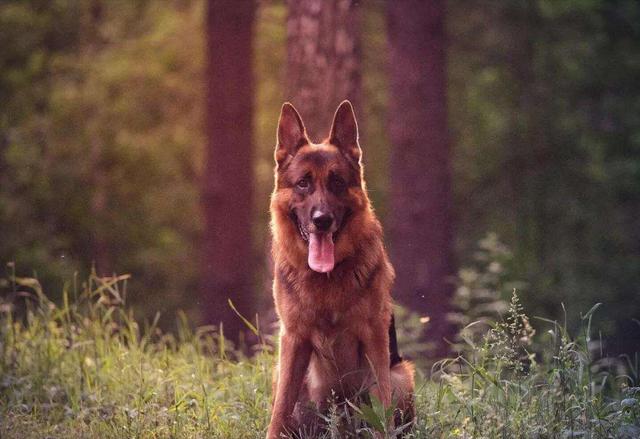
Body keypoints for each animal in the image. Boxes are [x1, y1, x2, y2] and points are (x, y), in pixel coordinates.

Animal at [266, 101, 412, 438]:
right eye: (303, 183)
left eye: (337, 183)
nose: (322, 220)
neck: (326, 280)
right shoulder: (293, 340)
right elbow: (279, 411)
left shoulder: (374, 337)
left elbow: (382, 404)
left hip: (402, 374)